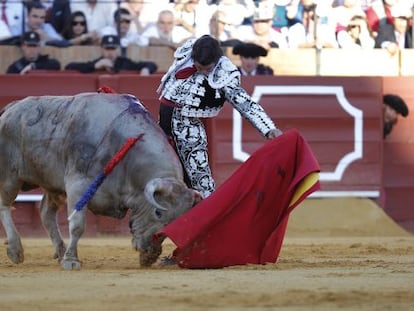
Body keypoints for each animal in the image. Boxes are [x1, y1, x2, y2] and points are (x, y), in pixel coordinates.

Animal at [0, 92, 201, 270]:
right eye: (158, 212)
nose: (150, 253)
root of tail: (10, 108)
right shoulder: (77, 185)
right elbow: (77, 224)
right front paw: (71, 261)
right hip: (10, 176)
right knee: (5, 205)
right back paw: (16, 250)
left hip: (52, 184)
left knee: (45, 213)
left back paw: (60, 250)